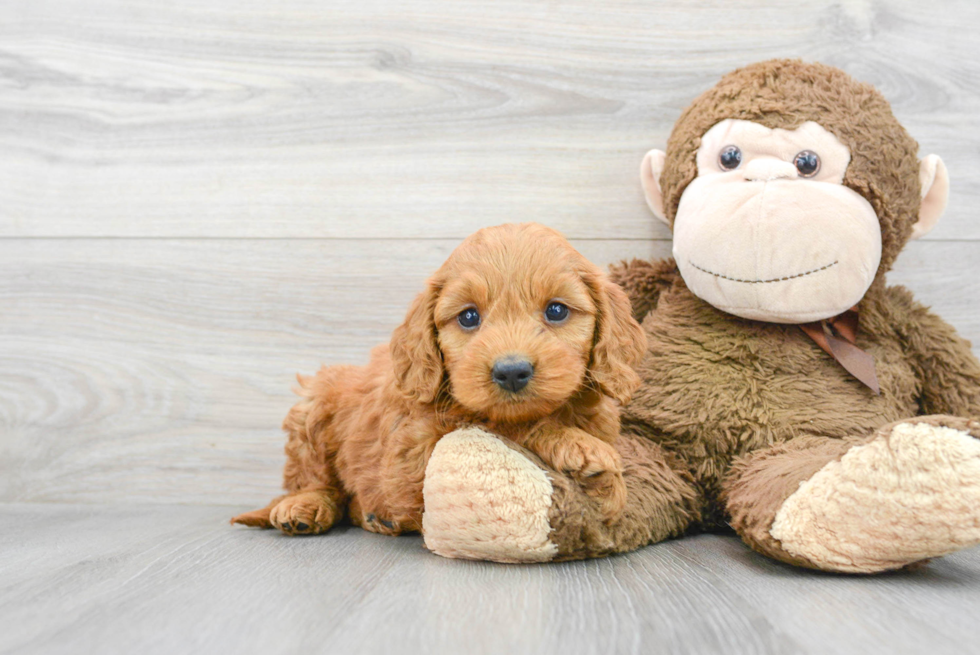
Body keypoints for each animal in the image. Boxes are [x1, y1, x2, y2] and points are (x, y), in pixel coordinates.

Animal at [233, 224, 648, 540]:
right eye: (468, 317)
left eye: (557, 310)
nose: (511, 371)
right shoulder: (412, 456)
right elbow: (499, 424)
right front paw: (580, 449)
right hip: (312, 405)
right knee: (314, 478)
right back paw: (305, 505)